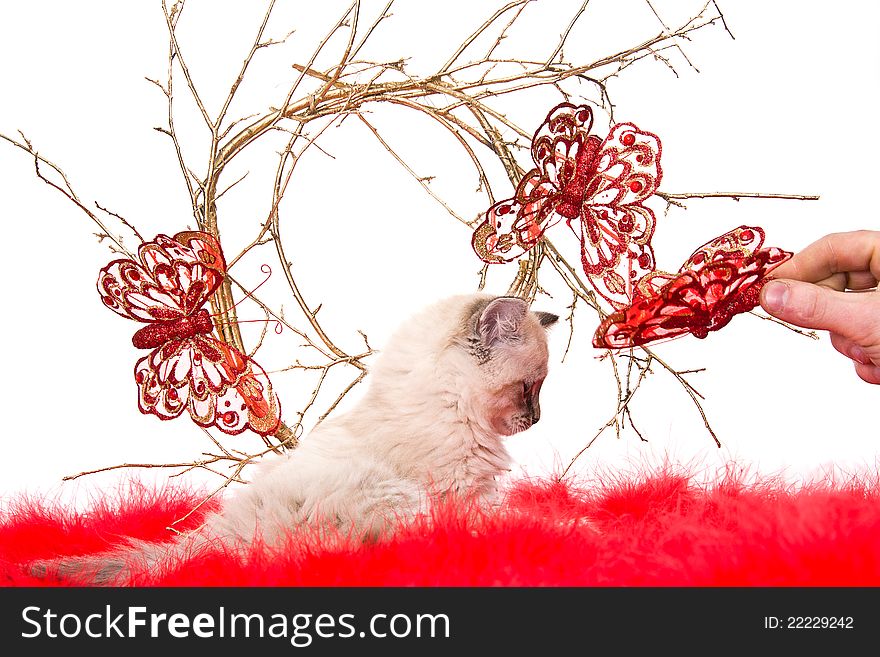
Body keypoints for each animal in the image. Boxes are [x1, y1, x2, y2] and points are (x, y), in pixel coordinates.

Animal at [37, 294, 556, 584]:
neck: (450, 407)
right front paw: (560, 523)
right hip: (398, 498)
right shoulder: (462, 499)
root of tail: (214, 540)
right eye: (529, 387)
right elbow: (514, 517)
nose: (536, 419)